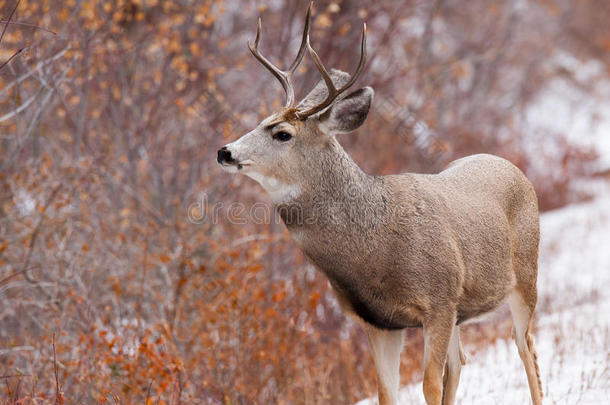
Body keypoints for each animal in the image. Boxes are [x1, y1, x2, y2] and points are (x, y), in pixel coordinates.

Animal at [216, 3, 540, 404]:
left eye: (282, 134)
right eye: (261, 120)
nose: (225, 151)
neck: (374, 250)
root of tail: (511, 166)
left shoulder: (438, 299)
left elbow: (429, 384)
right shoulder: (378, 320)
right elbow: (387, 390)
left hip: (524, 275)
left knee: (525, 346)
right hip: (462, 310)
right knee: (460, 362)